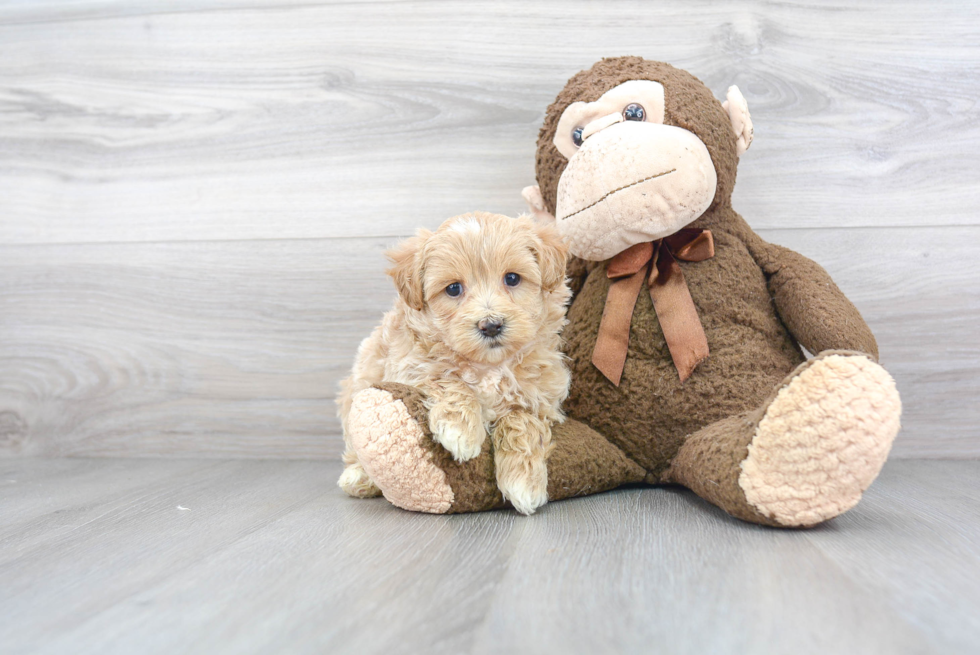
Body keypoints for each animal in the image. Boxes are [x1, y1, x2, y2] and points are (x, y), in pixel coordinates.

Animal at [336, 213, 572, 516]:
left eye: (512, 278)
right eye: (453, 289)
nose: (491, 325)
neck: (488, 366)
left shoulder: (541, 396)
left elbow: (522, 420)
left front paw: (524, 481)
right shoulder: (410, 367)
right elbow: (449, 379)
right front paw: (460, 430)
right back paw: (359, 477)